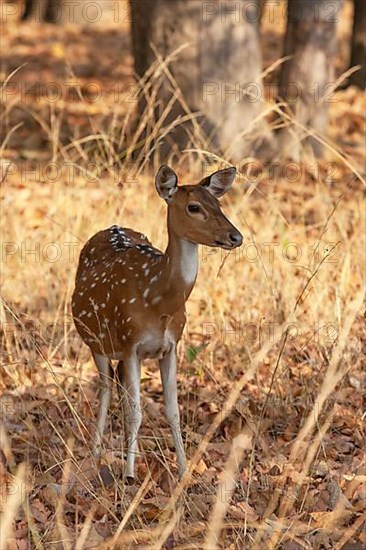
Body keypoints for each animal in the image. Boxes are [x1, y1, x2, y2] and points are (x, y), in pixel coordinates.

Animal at [72, 166, 243, 480]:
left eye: (219, 204)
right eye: (194, 207)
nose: (236, 237)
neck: (157, 301)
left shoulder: (171, 345)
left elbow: (173, 412)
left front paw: (184, 470)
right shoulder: (130, 342)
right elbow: (137, 412)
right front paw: (129, 475)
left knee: (117, 386)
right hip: (95, 340)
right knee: (105, 388)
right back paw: (96, 453)